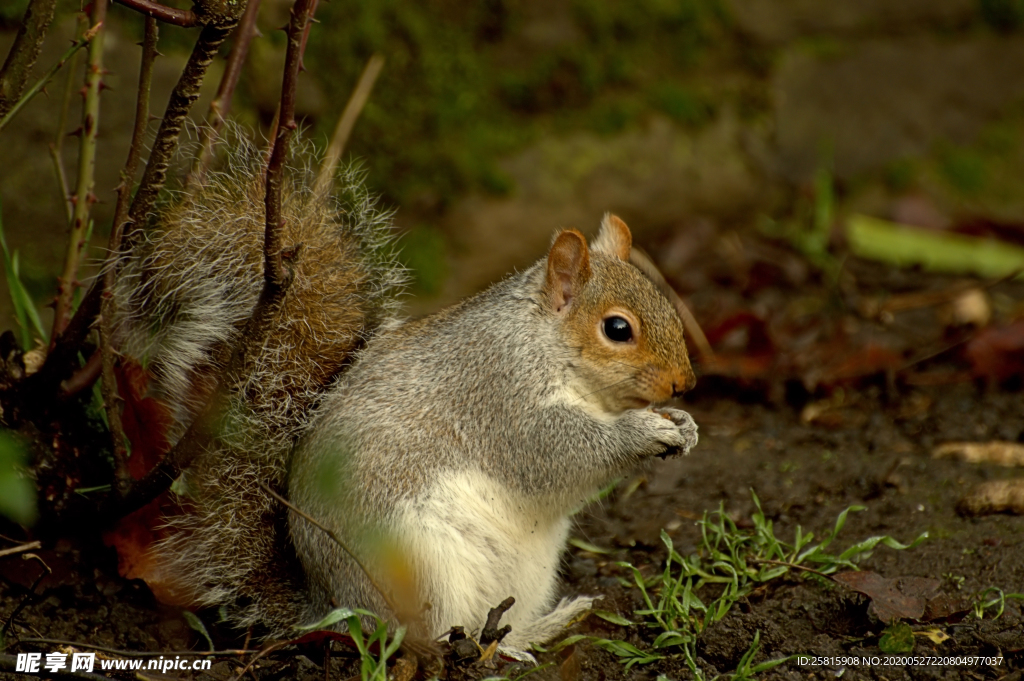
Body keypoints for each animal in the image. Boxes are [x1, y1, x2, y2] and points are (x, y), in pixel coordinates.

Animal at [114, 133, 704, 647]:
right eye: (617, 329)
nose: (685, 383)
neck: (545, 344)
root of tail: (331, 605)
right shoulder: (497, 391)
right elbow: (553, 452)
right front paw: (642, 431)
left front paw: (684, 425)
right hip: (416, 566)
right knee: (436, 639)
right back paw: (509, 646)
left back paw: (543, 626)